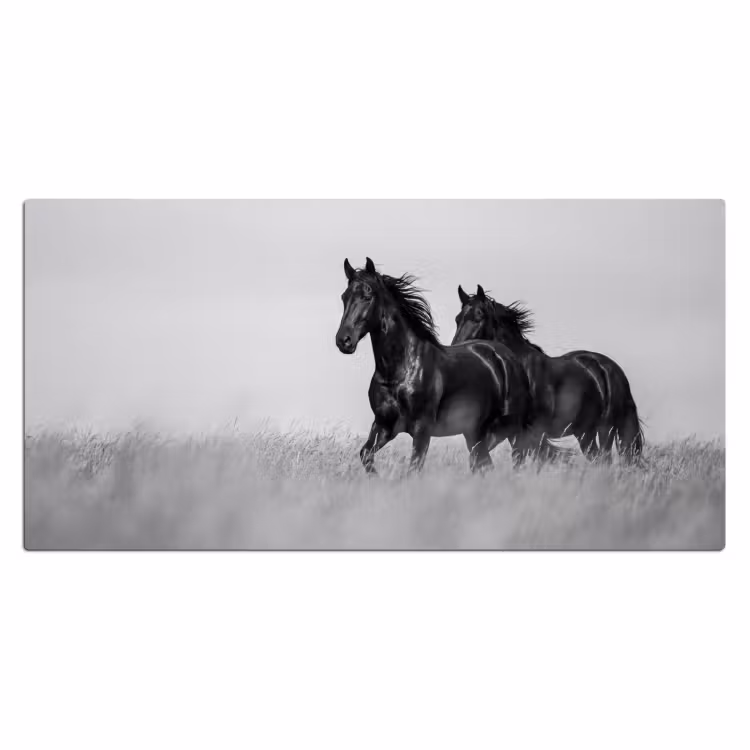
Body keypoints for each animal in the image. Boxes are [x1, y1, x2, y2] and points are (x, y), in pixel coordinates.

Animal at [335, 258, 535, 474]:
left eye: (367, 295)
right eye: (344, 297)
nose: (343, 341)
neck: (399, 371)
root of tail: (508, 357)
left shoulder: (422, 429)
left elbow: (413, 469)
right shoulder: (384, 425)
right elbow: (365, 454)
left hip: (512, 430)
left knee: (515, 461)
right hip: (475, 433)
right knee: (482, 464)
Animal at [451, 285, 645, 462]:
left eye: (479, 316)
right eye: (457, 319)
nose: (457, 350)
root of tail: (610, 368)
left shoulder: (527, 432)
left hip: (606, 428)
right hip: (585, 432)